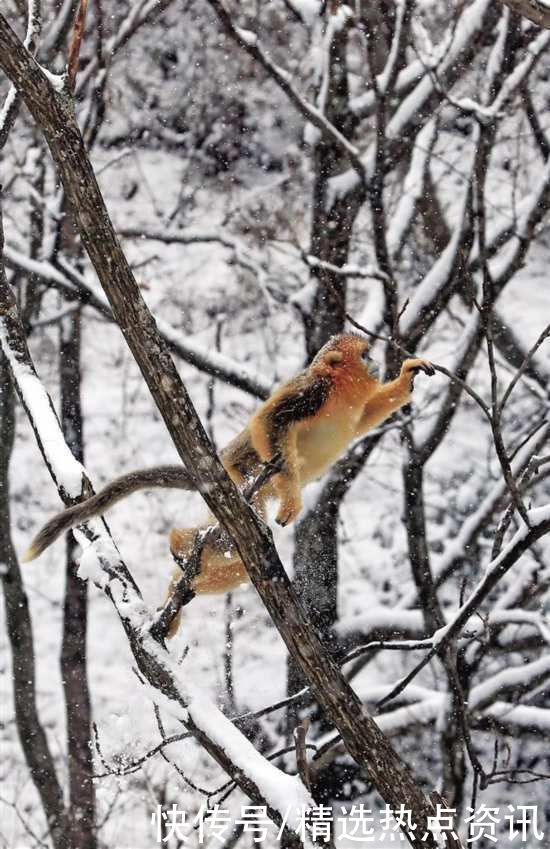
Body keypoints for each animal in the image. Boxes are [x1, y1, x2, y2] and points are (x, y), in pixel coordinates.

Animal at [23, 334, 436, 632]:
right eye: (364, 354)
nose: (376, 361)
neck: (339, 391)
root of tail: (218, 463)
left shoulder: (350, 404)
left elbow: (366, 418)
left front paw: (407, 376)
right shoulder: (311, 392)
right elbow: (270, 424)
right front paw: (291, 497)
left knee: (233, 563)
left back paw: (184, 581)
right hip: (241, 481)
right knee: (231, 537)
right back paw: (181, 541)